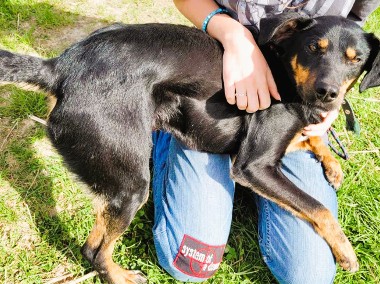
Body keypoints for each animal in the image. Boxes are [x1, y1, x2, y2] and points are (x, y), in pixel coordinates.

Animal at [0, 14, 378, 282]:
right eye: (314, 48)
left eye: (355, 59)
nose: (327, 93)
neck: (285, 70)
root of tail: (58, 69)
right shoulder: (253, 166)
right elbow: (318, 208)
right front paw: (346, 252)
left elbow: (312, 138)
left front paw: (329, 159)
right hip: (132, 185)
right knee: (94, 251)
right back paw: (122, 277)